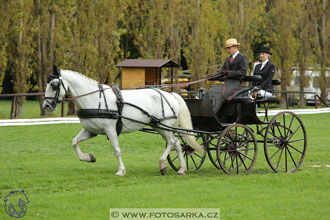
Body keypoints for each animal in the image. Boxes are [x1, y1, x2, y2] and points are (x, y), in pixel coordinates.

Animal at [42, 65, 202, 175]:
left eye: (54, 85)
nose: (46, 105)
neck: (95, 99)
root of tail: (169, 94)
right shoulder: (91, 131)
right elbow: (74, 142)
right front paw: (88, 157)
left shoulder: (110, 130)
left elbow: (116, 150)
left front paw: (121, 170)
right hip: (158, 126)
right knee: (176, 143)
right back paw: (181, 169)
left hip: (164, 125)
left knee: (172, 142)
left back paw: (164, 163)